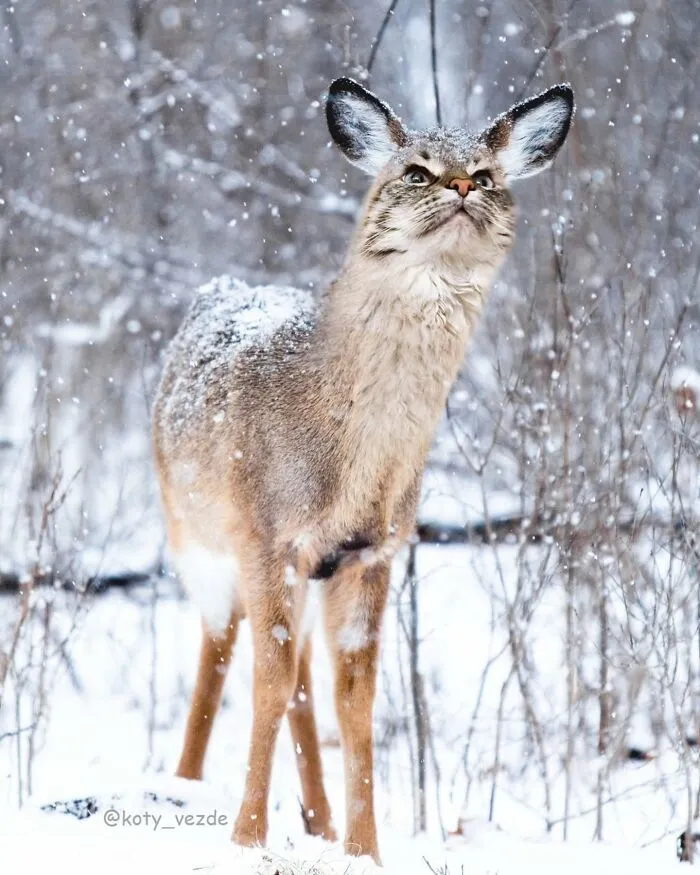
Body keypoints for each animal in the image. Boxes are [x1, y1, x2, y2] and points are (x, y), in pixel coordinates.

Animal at [152, 76, 574, 864]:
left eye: (490, 176)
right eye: (416, 171)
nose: (463, 185)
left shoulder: (370, 552)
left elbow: (355, 700)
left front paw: (363, 850)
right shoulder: (265, 535)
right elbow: (265, 682)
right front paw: (246, 839)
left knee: (301, 679)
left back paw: (316, 819)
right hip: (193, 536)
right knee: (219, 651)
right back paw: (184, 784)